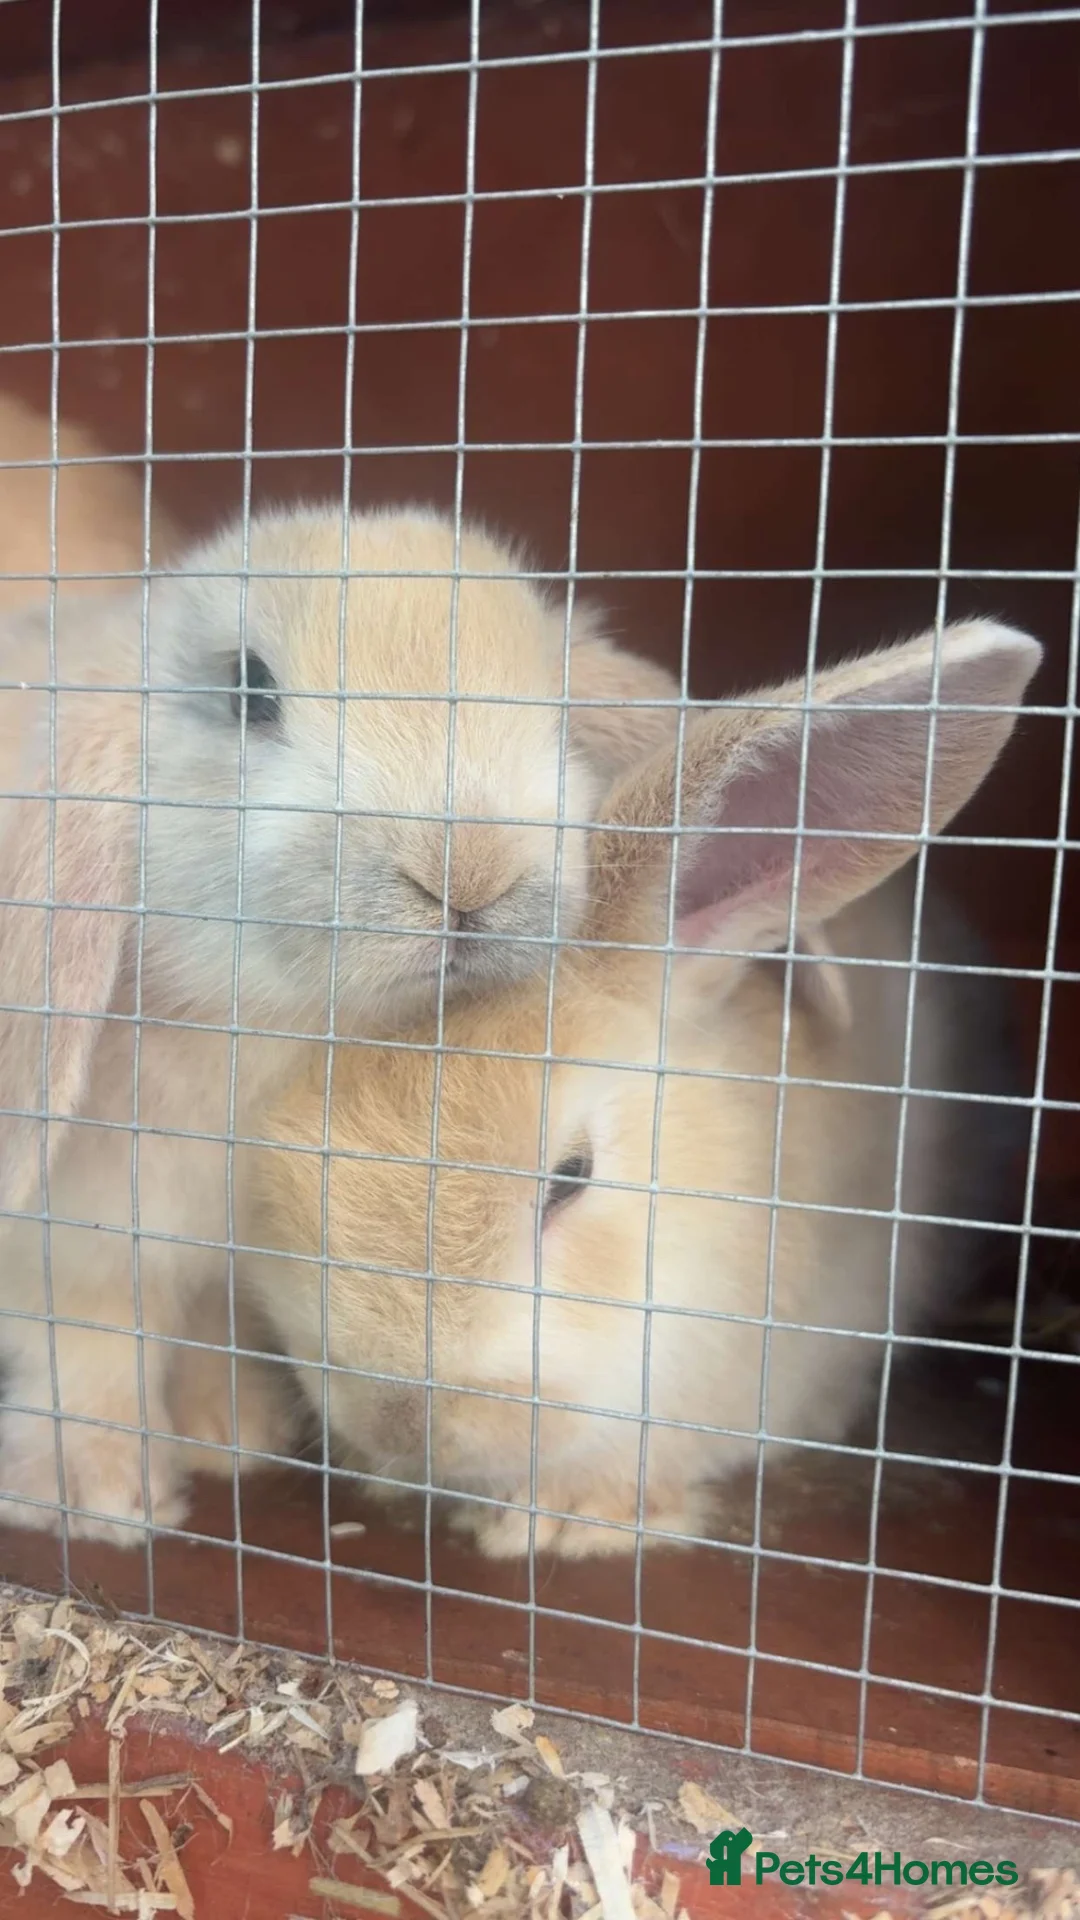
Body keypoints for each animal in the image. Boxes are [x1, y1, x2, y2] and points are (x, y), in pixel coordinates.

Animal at [0, 466, 683, 1543]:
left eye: (554, 708)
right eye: (249, 690)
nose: (470, 871)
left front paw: (227, 1435)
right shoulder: (77, 1245)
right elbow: (90, 1346)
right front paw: (95, 1498)